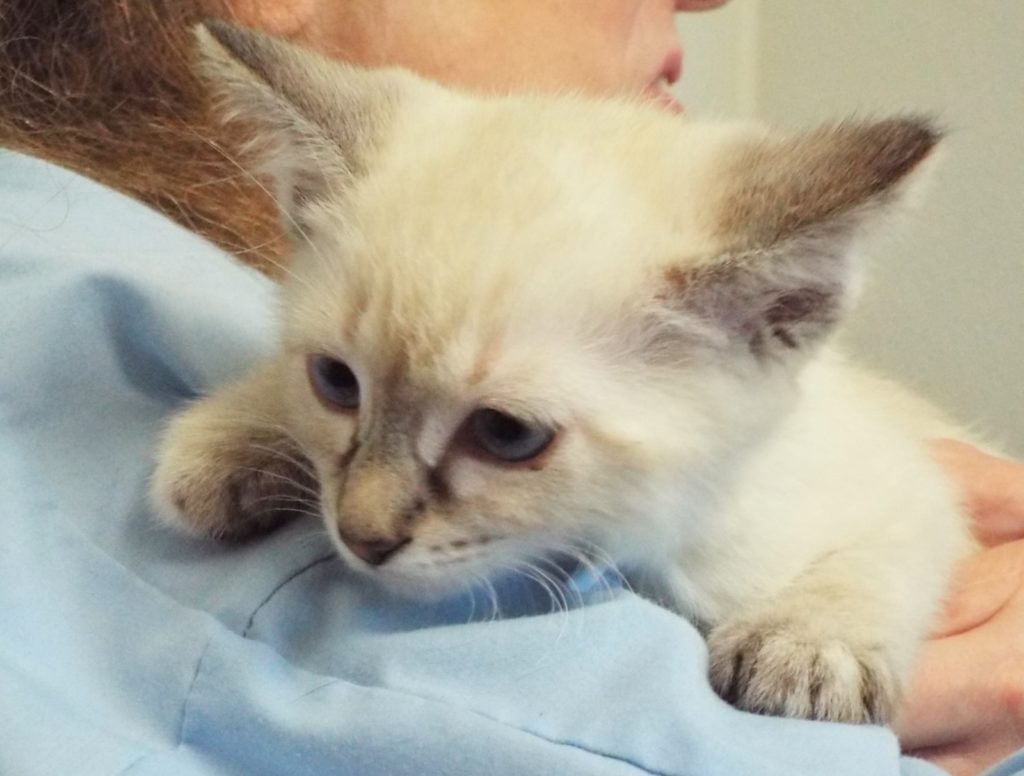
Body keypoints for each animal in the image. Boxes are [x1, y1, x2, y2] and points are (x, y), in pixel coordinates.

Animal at [151, 21, 973, 725]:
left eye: (506, 435)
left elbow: (882, 553)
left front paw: (810, 646)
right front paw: (222, 444)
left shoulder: (909, 485)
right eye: (336, 382)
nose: (362, 539)